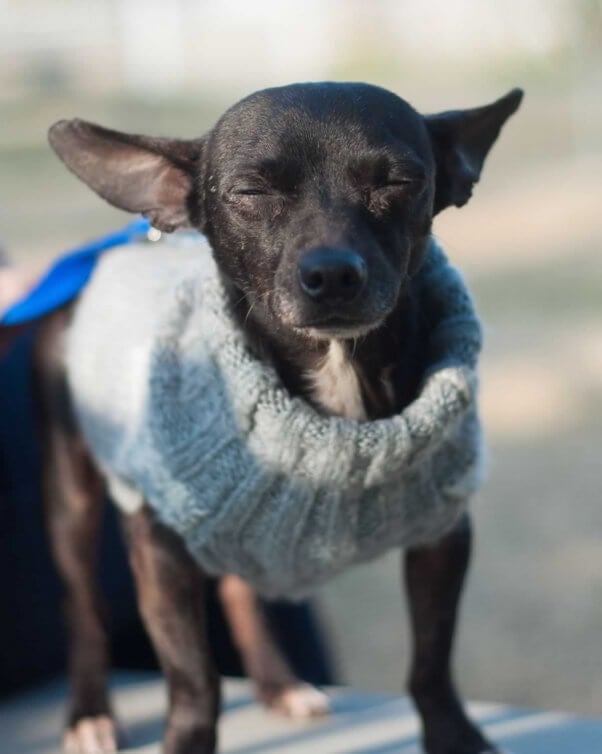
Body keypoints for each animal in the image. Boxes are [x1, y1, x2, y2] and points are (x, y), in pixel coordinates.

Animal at [35, 79, 516, 748]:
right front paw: (186, 740)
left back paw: (277, 682)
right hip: (72, 500)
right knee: (83, 607)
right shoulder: (158, 551)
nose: (333, 272)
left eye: (399, 181)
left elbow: (431, 661)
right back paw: (88, 712)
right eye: (251, 193)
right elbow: (194, 681)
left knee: (239, 590)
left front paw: (454, 737)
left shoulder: (441, 536)